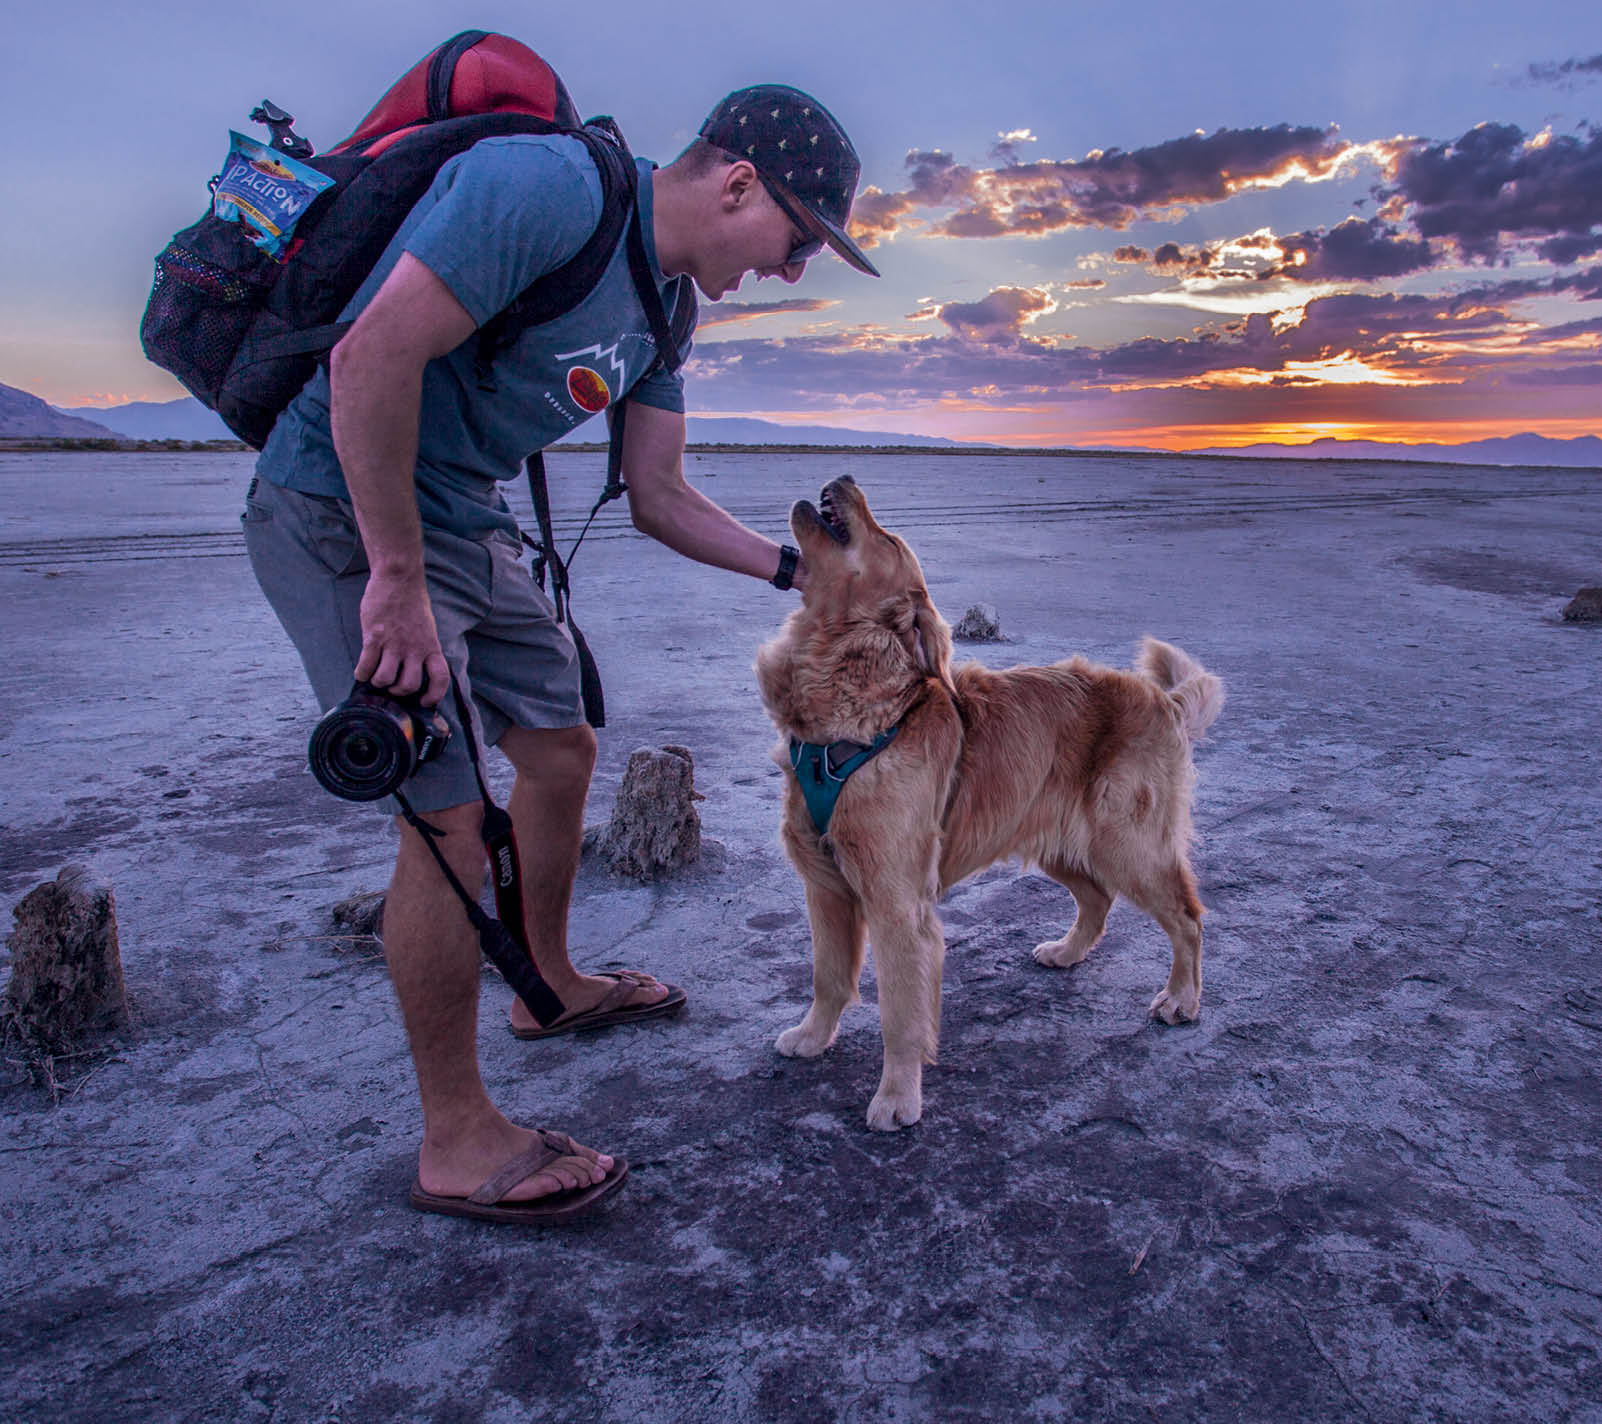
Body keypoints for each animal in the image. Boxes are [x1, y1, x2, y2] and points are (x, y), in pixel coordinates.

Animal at [756, 477, 1217, 1134]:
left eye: (887, 536)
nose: (845, 479)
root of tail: (1161, 698)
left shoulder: (898, 904)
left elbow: (900, 1014)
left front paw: (897, 1097)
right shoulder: (825, 885)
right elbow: (827, 976)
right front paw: (814, 1036)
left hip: (1128, 843)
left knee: (1187, 917)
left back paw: (1182, 998)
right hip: (1060, 839)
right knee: (1097, 899)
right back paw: (1067, 952)